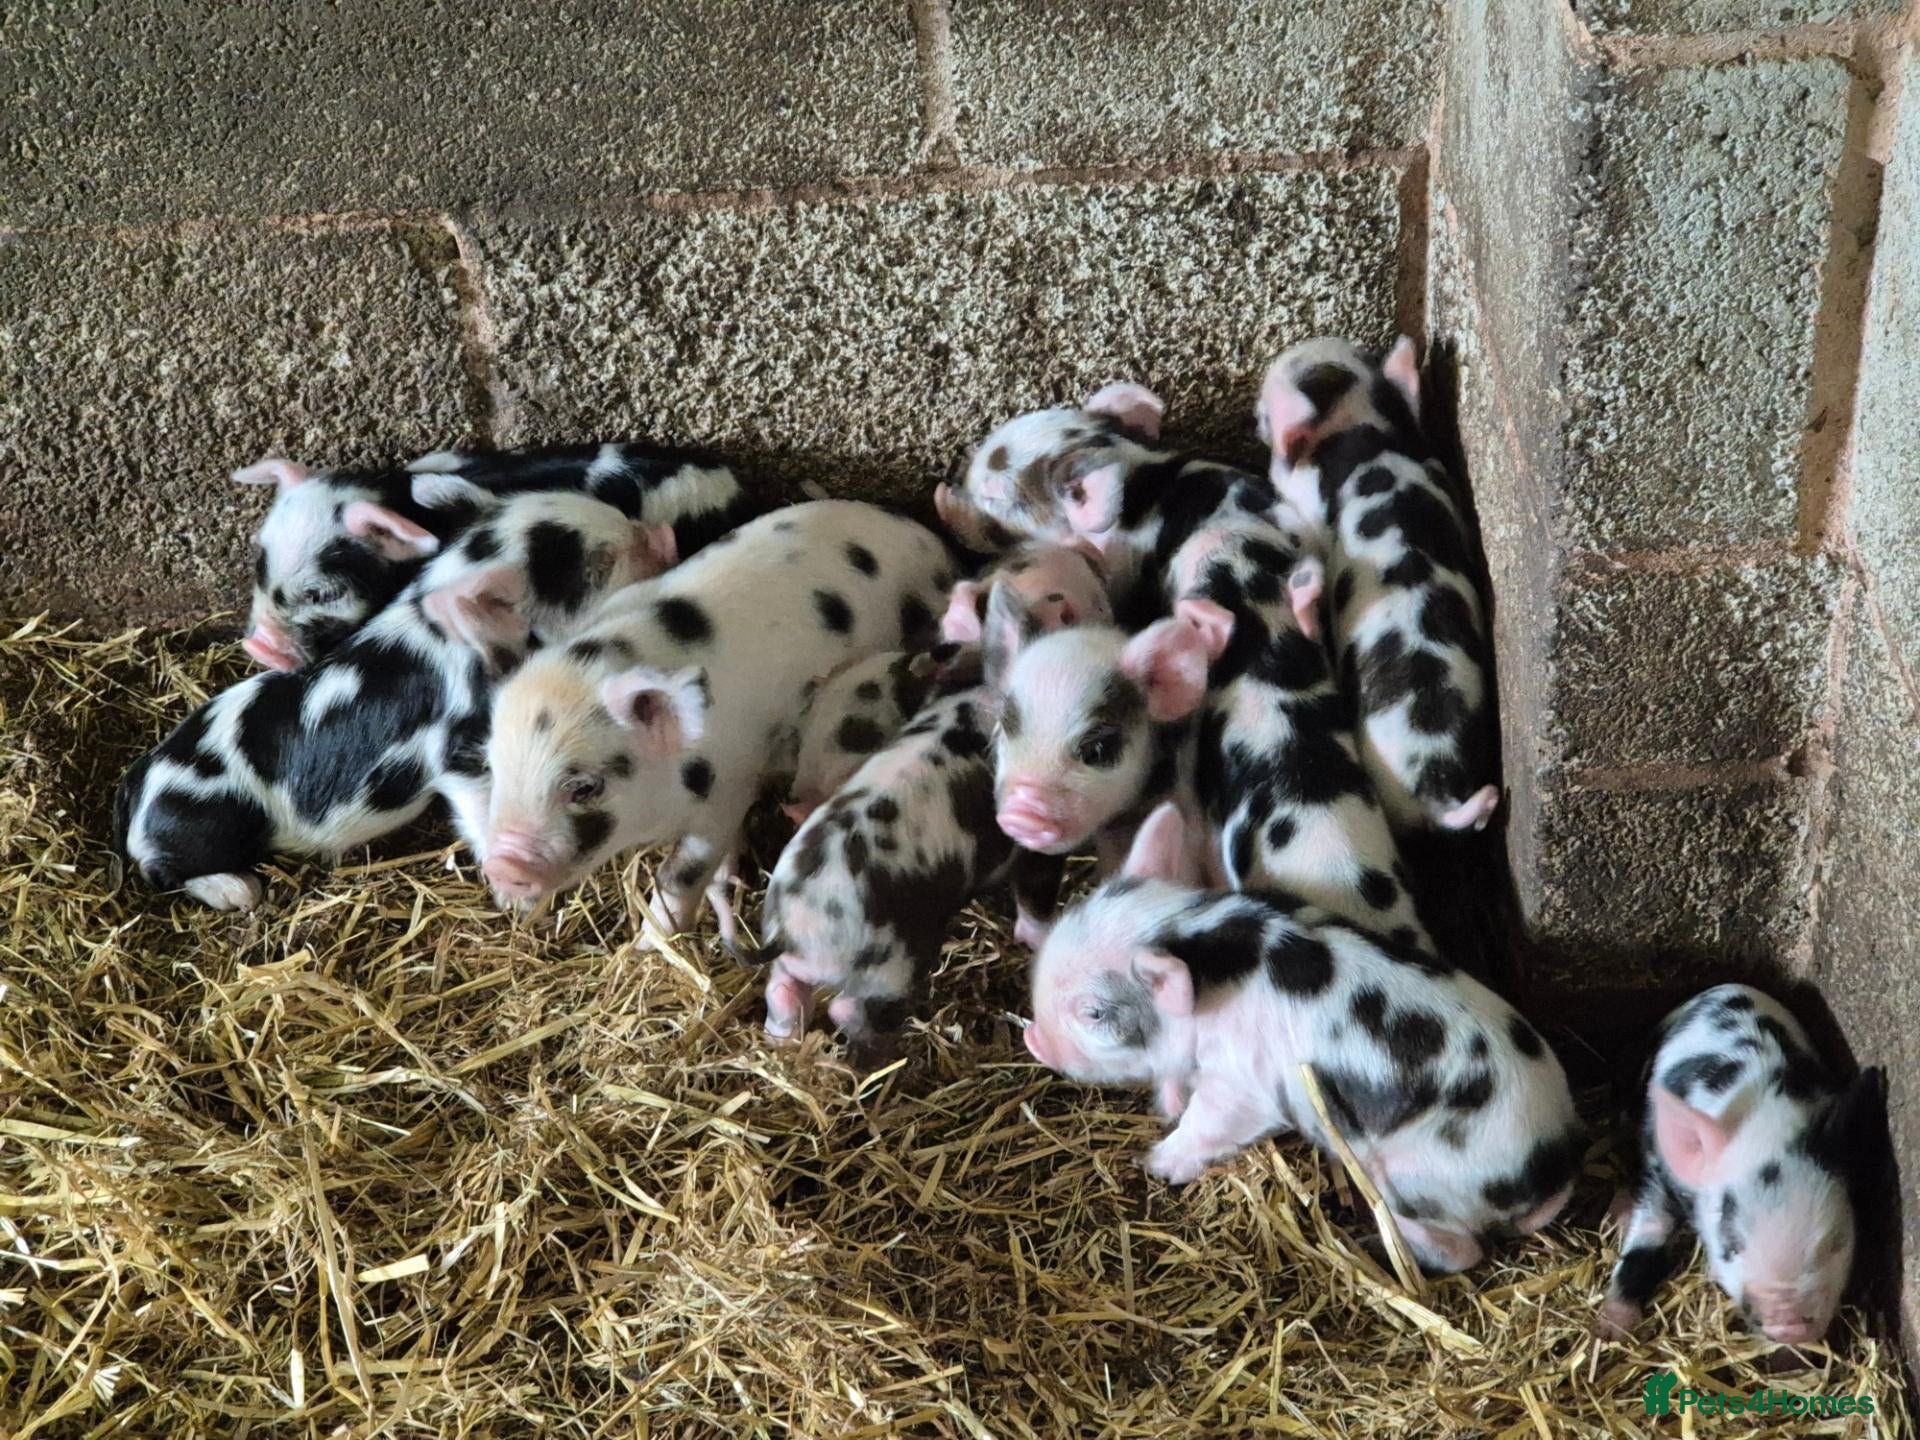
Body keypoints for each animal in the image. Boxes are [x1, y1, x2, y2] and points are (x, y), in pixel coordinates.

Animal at [114, 492, 678, 910]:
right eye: (596, 563)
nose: (667, 537)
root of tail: (135, 786)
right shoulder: (460, 750)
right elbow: (480, 805)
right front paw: (516, 898)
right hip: (205, 821)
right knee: (160, 870)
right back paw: (240, 891)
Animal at [476, 501, 953, 945]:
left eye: (585, 787)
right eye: (494, 767)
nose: (501, 866)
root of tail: (932, 542)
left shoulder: (726, 790)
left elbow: (682, 871)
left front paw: (650, 944)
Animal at [756, 680, 1064, 1065]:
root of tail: (794, 926)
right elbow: (1037, 896)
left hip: (795, 967)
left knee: (782, 994)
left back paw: (780, 1041)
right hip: (893, 965)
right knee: (848, 1009)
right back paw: (889, 1055)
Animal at [1024, 802, 1583, 1273]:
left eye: (1094, 1013)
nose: (1032, 1039)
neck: (1195, 937)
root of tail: (1554, 1162)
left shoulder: (1242, 1088)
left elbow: (1208, 1123)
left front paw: (1156, 1163)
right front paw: (1166, 1105)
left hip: (1416, 1177)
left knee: (1462, 1250)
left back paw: (1380, 1242)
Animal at [1601, 985, 1884, 1347]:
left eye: (1835, 1242)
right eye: (1731, 1245)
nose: (1789, 1325)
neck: (1766, 1115)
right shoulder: (1660, 1167)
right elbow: (1649, 1231)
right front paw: (1610, 1328)